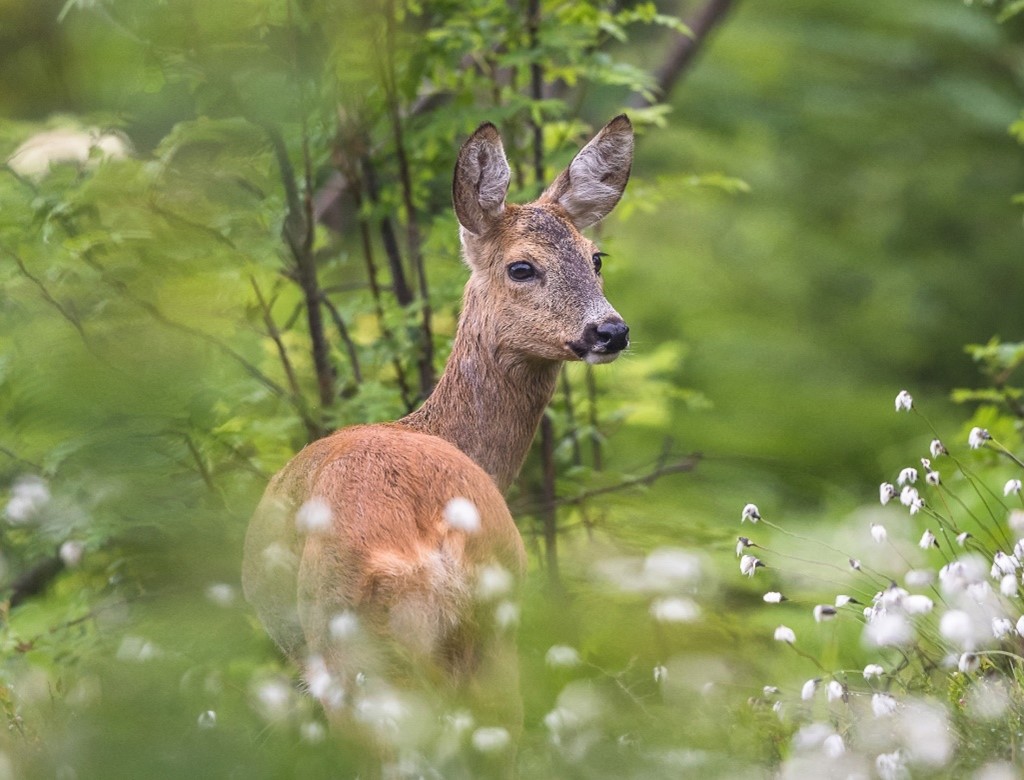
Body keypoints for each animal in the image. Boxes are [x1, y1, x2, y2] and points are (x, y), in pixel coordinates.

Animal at [243, 114, 634, 737]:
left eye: (595, 258)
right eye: (521, 266)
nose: (611, 332)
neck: (429, 427)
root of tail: (434, 552)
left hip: (348, 648)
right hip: (495, 635)